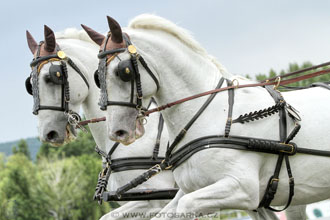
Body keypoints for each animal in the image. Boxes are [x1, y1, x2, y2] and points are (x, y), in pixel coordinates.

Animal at [93, 13, 330, 218]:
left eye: (123, 71)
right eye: (97, 77)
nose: (118, 131)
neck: (212, 114)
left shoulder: (242, 189)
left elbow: (186, 207)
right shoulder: (188, 189)